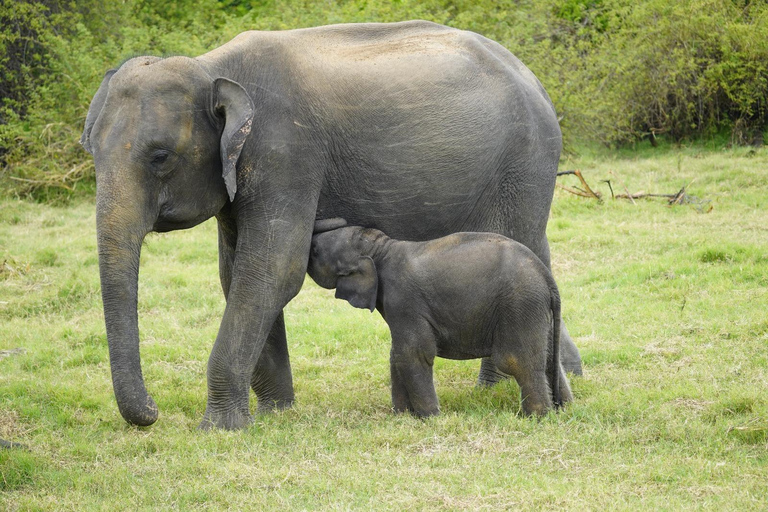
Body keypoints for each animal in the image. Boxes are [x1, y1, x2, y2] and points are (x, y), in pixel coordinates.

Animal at [308, 221, 573, 416]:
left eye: (315, 251)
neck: (381, 249)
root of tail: (547, 277)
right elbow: (397, 354)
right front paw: (402, 416)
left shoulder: (404, 300)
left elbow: (414, 353)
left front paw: (430, 418)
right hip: (537, 311)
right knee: (549, 357)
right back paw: (565, 409)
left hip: (519, 304)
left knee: (515, 360)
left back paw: (537, 417)